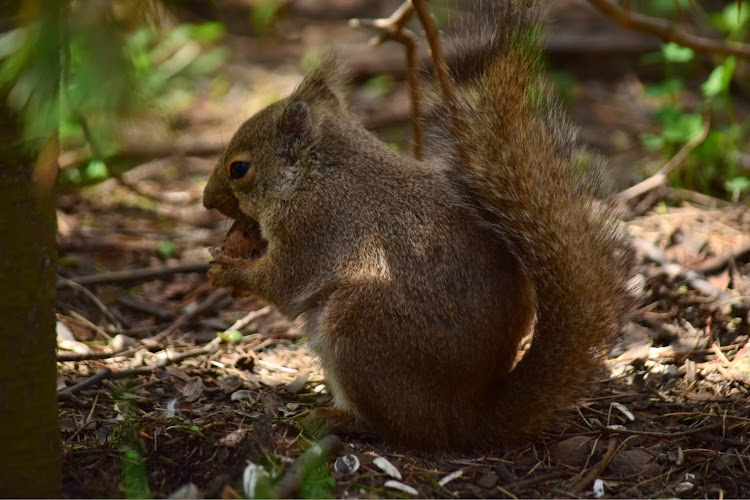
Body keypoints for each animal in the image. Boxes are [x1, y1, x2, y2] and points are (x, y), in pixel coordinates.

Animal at [203, 0, 632, 450]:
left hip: (359, 332)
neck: (317, 174)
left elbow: (283, 282)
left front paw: (228, 271)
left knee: (398, 427)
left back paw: (335, 418)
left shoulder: (314, 228)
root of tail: (467, 415)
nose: (206, 201)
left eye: (239, 169)